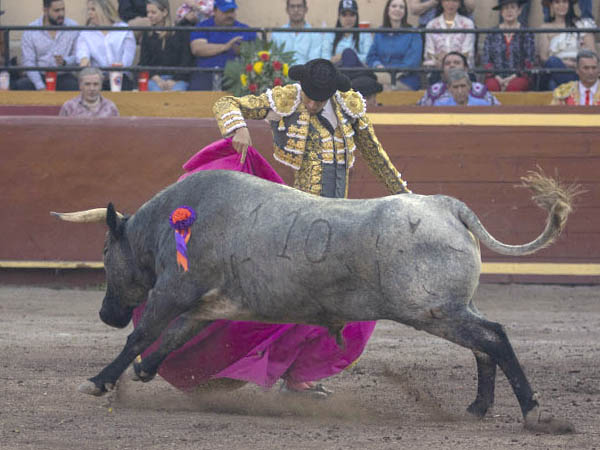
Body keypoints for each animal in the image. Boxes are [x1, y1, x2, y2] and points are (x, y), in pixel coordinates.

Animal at [54, 169, 580, 432]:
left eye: (105, 252)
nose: (105, 314)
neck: (171, 221)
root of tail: (444, 205)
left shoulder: (173, 291)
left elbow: (142, 334)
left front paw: (99, 381)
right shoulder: (206, 303)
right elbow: (171, 338)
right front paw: (143, 371)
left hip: (434, 311)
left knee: (494, 338)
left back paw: (533, 412)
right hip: (448, 310)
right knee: (484, 345)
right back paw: (477, 408)